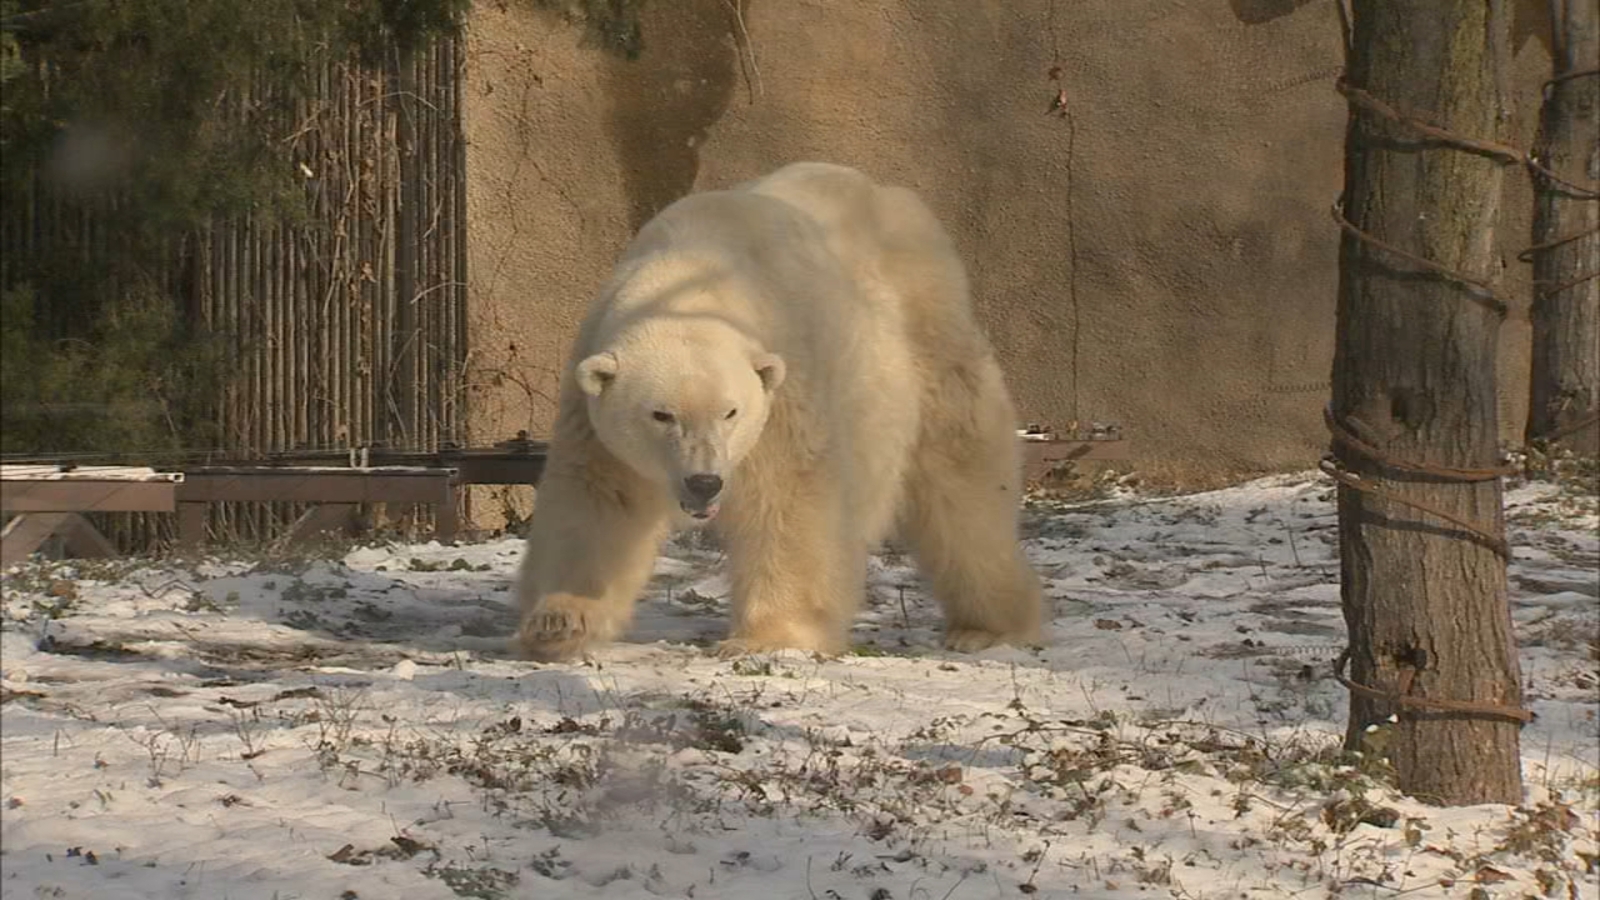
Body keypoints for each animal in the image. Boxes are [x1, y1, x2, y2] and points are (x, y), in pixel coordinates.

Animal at [512, 161, 1044, 661]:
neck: (692, 271)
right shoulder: (591, 405)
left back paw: (988, 626)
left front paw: (768, 638)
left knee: (960, 480)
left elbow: (787, 498)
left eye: (730, 412)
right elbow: (599, 500)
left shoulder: (783, 385)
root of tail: (891, 195)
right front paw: (558, 620)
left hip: (919, 340)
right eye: (661, 415)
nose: (704, 482)